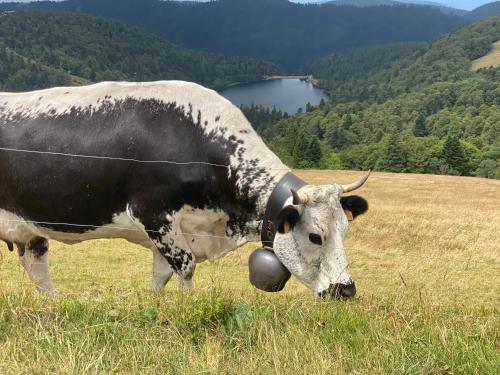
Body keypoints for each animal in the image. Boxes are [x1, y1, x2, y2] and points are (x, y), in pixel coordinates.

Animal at [0, 81, 368, 300]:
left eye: (345, 230)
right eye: (315, 236)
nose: (347, 289)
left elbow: (160, 276)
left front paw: (155, 309)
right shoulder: (154, 215)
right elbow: (186, 268)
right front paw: (188, 310)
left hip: (30, 231)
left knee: (37, 269)